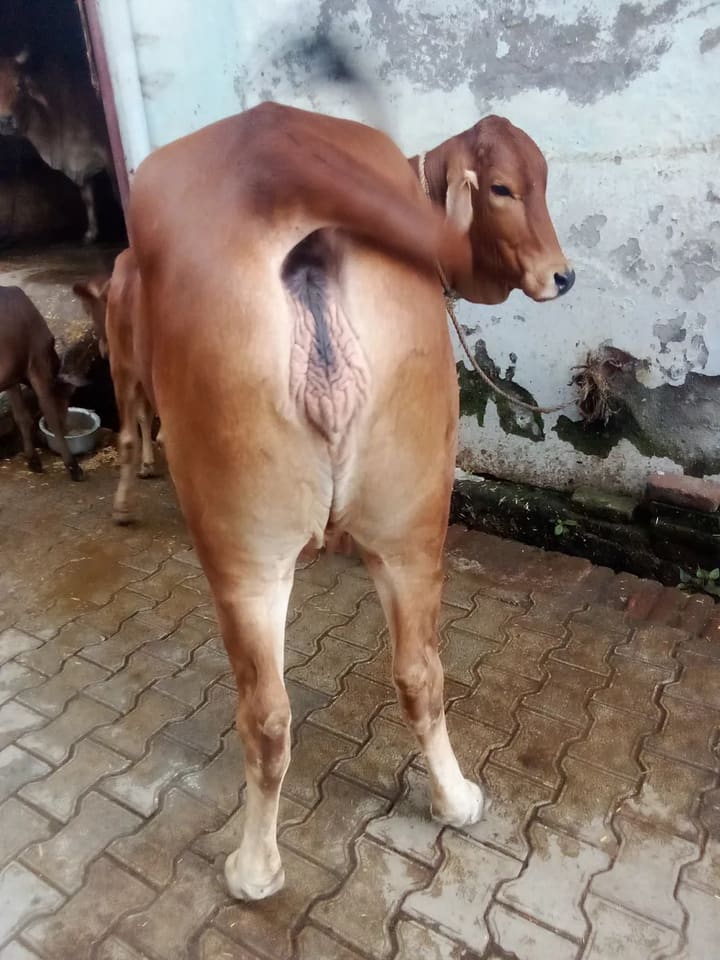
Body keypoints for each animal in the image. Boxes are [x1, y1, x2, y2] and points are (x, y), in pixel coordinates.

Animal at [0, 286, 83, 480]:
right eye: (67, 397)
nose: (67, 427)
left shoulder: (12, 377)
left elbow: (22, 417)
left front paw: (33, 461)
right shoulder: (38, 366)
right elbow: (50, 415)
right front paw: (73, 466)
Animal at [105, 101, 574, 901]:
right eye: (504, 188)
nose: (561, 275)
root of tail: (278, 162)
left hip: (277, 545)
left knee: (285, 709)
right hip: (388, 523)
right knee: (402, 678)